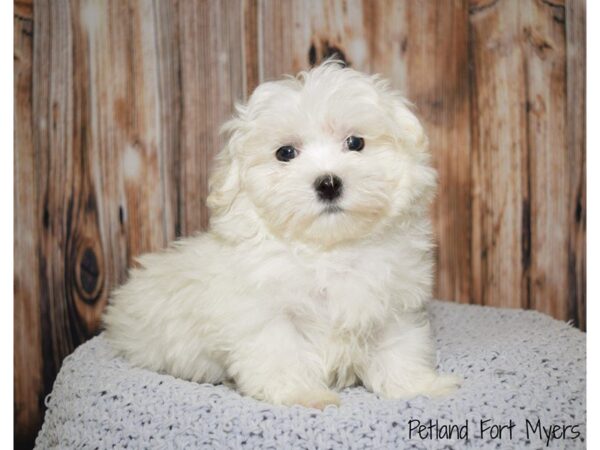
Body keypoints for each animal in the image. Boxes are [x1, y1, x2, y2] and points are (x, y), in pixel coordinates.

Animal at [103, 59, 460, 408]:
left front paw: (420, 387)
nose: (328, 183)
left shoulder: (391, 308)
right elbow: (283, 357)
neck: (329, 250)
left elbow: (399, 350)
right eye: (285, 153)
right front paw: (304, 396)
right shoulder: (267, 319)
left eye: (355, 143)